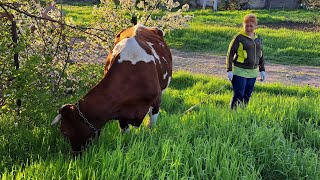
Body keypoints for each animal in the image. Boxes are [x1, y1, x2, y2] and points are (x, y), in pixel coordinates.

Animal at [51, 23, 172, 153]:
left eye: (64, 131)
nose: (75, 153)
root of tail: (138, 24)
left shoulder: (156, 102)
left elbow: (151, 126)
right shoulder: (121, 110)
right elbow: (125, 133)